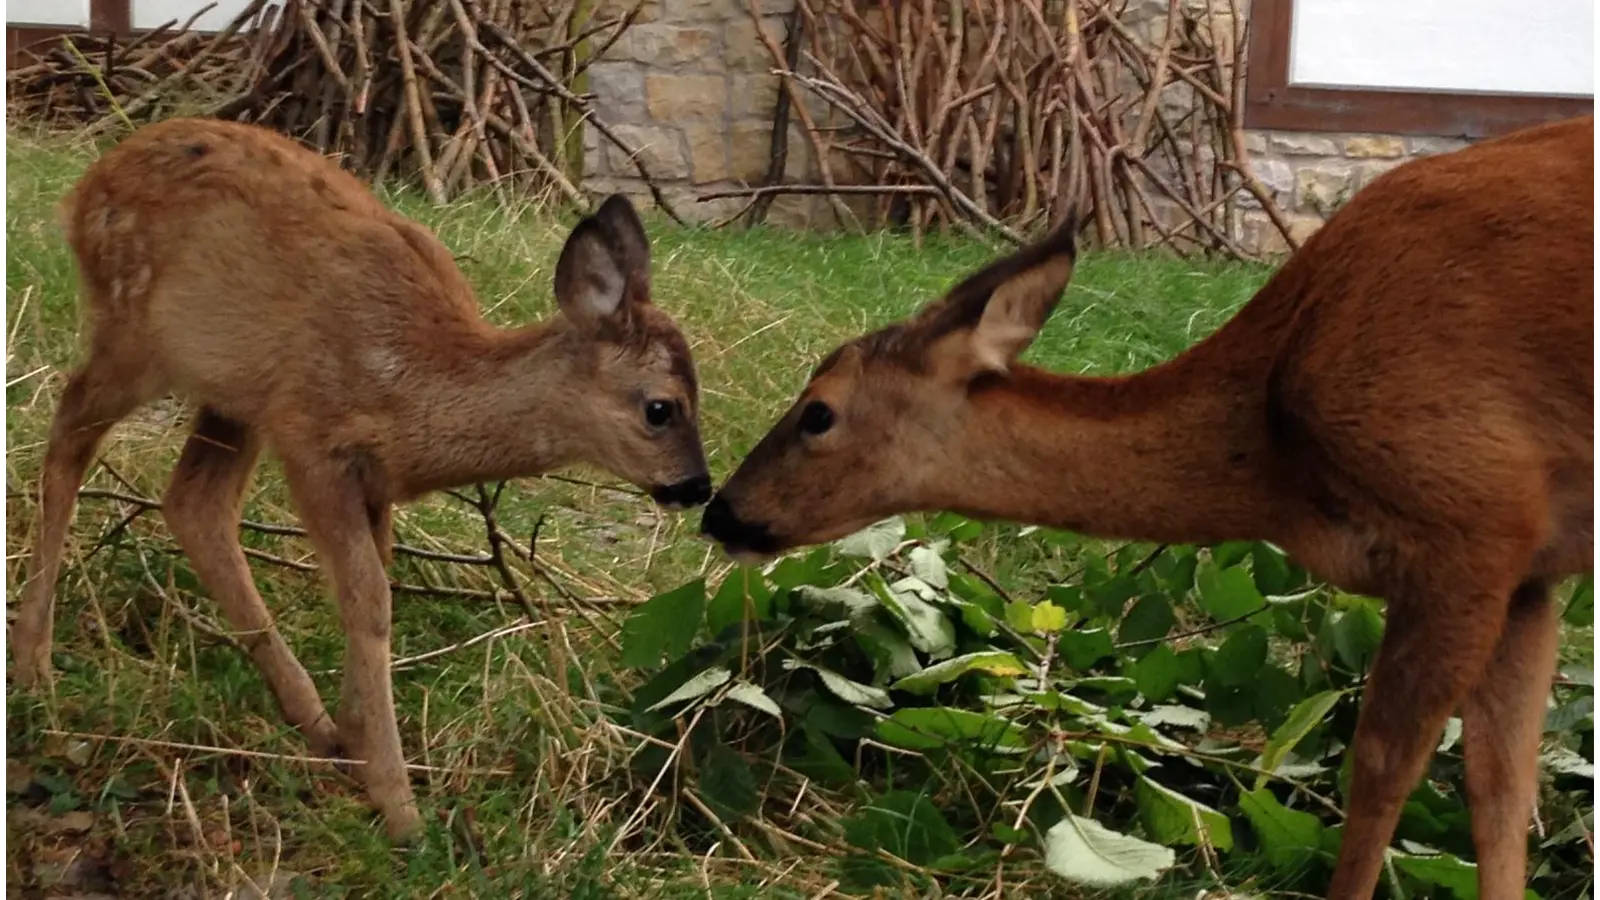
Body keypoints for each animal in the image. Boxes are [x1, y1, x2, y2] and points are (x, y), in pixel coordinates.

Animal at [10, 117, 713, 832]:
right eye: (661, 408)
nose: (698, 488)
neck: (416, 387)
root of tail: (87, 187)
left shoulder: (372, 479)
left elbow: (373, 586)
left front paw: (356, 741)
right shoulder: (313, 440)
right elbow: (370, 601)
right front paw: (397, 802)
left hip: (235, 393)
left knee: (193, 504)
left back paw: (311, 720)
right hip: (136, 334)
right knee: (69, 436)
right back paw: (34, 662)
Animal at [707, 113, 1593, 896]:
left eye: (817, 413)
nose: (721, 511)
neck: (1274, 450)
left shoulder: (1469, 515)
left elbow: (1379, 767)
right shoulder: (1529, 573)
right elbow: (1501, 786)